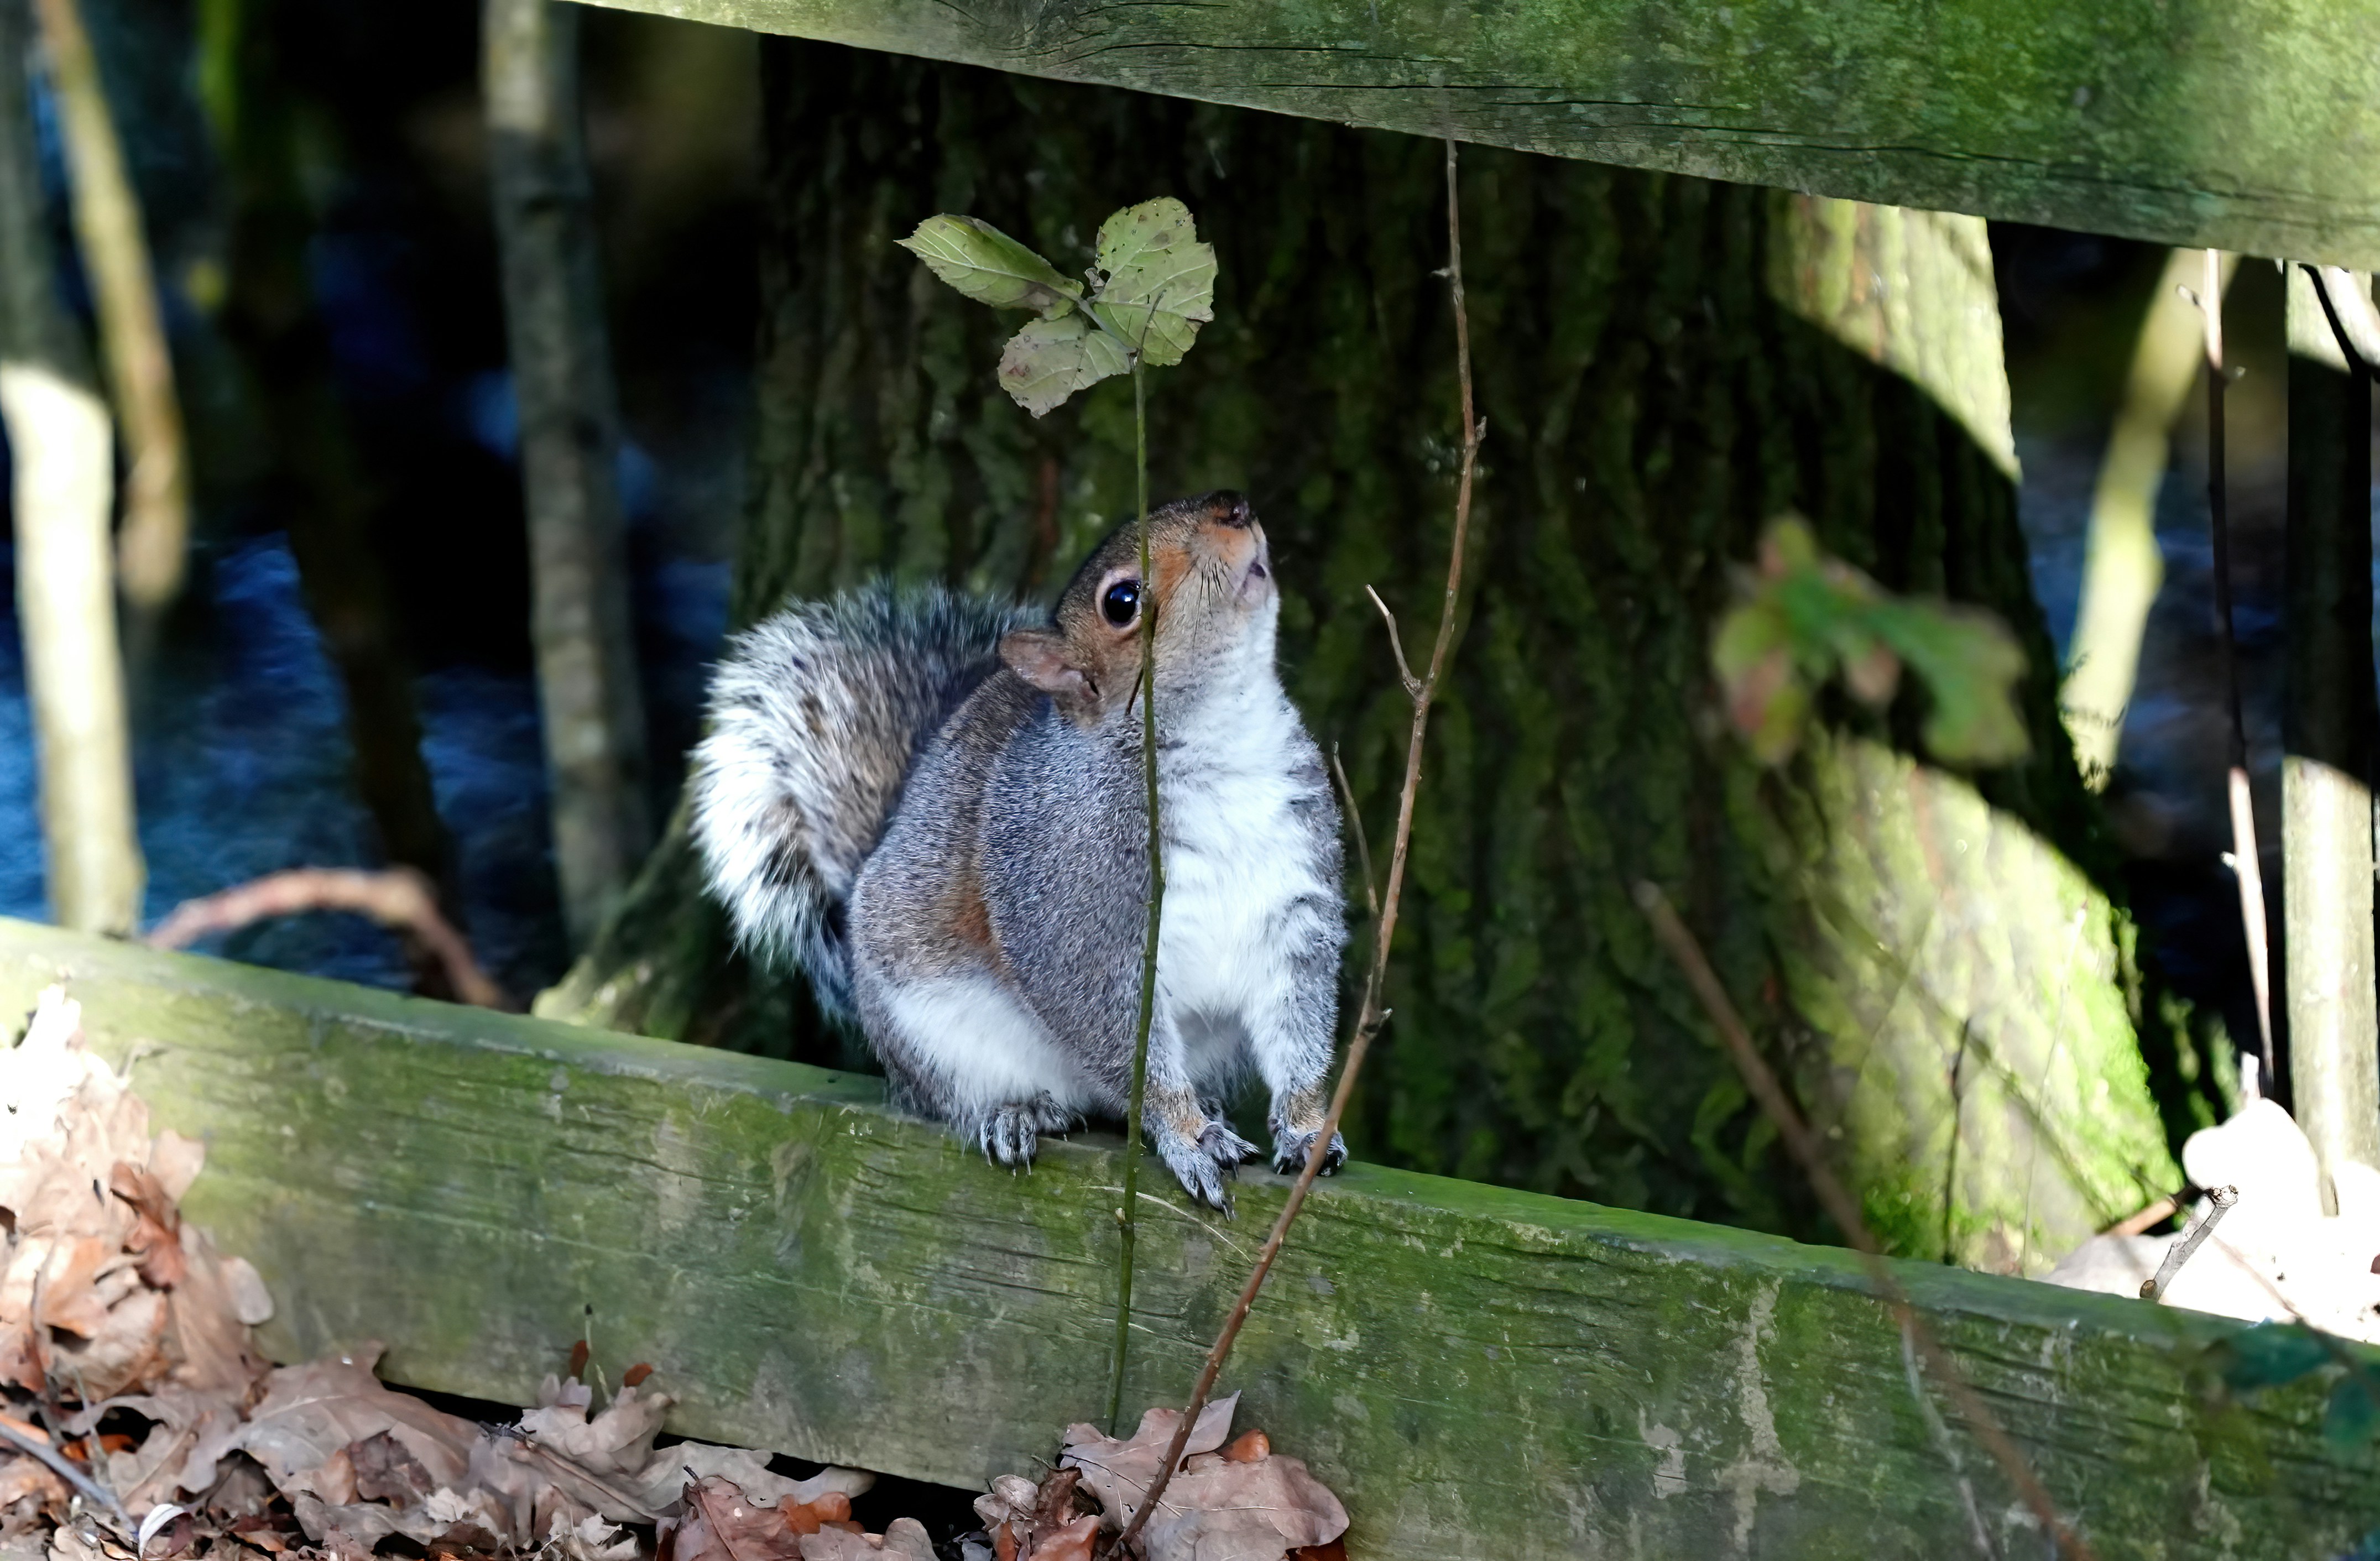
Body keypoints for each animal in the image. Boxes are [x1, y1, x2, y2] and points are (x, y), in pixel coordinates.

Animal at [690, 491, 1348, 1209]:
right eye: (1122, 601)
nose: (1233, 507)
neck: (1222, 734)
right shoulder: (1070, 902)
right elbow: (1117, 1031)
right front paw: (1187, 1137)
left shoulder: (1296, 902)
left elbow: (1300, 1025)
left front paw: (1307, 1130)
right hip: (934, 1042)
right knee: (963, 1100)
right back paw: (1017, 1113)